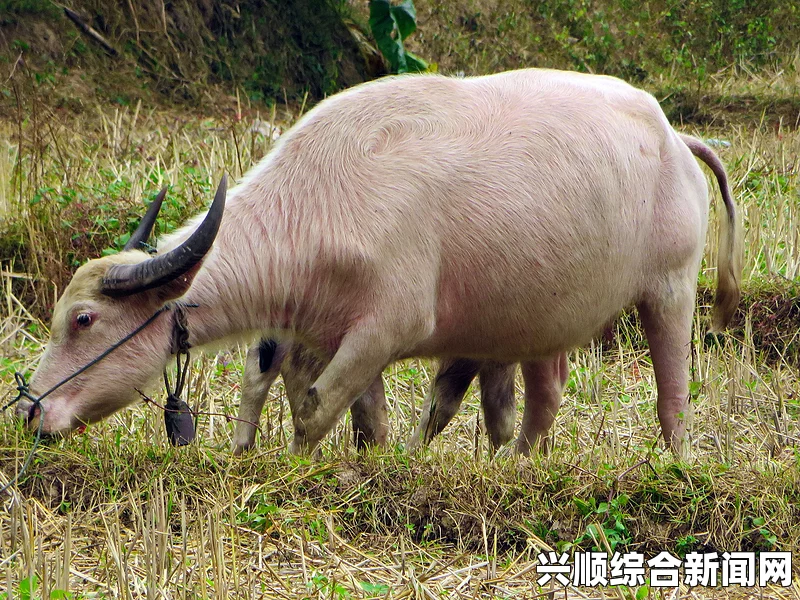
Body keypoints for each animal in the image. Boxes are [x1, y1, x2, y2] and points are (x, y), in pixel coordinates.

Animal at [20, 69, 744, 454]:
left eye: (83, 320)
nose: (29, 410)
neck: (320, 200)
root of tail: (674, 137)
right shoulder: (329, 332)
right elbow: (349, 414)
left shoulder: (388, 327)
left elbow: (314, 408)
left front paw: (299, 464)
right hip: (545, 320)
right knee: (542, 401)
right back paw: (517, 465)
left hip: (672, 288)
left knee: (672, 393)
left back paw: (675, 462)